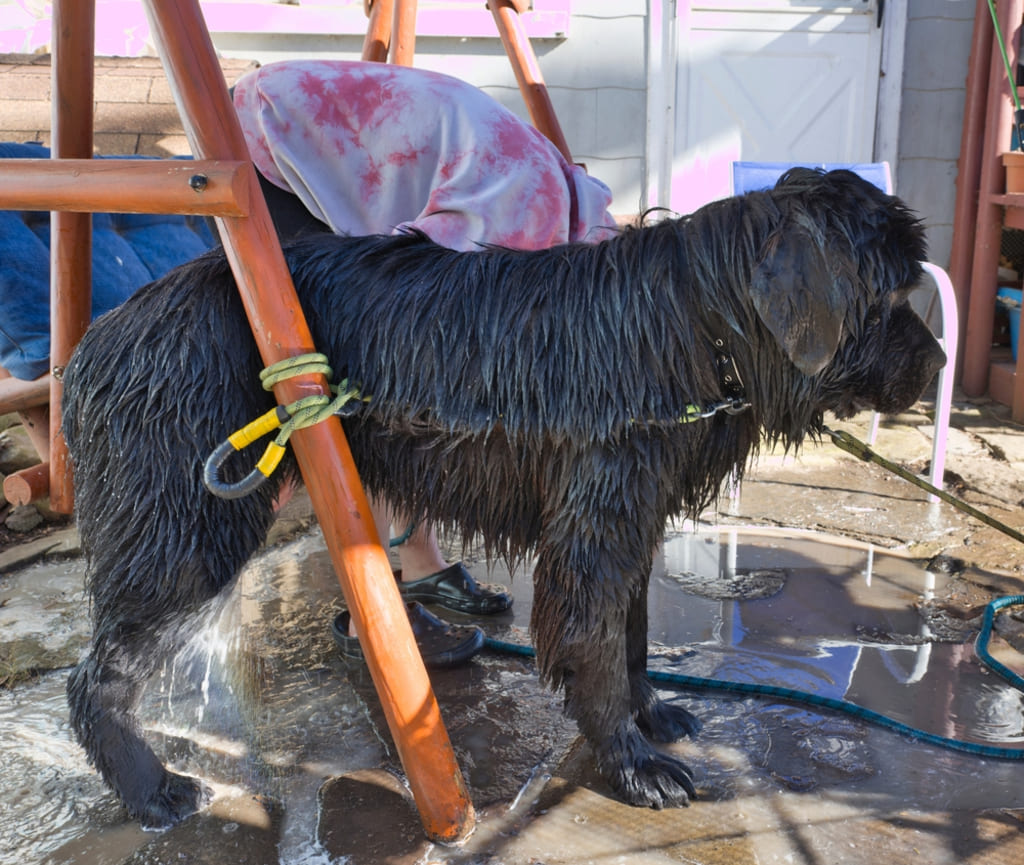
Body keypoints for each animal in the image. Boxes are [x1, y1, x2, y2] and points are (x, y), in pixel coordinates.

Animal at [61, 168, 942, 823]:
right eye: (892, 296)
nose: (937, 366)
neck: (690, 324)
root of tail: (100, 338)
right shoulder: (596, 523)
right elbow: (596, 644)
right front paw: (634, 764)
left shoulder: (630, 517)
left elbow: (632, 633)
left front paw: (652, 714)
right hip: (187, 520)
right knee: (98, 677)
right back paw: (152, 790)